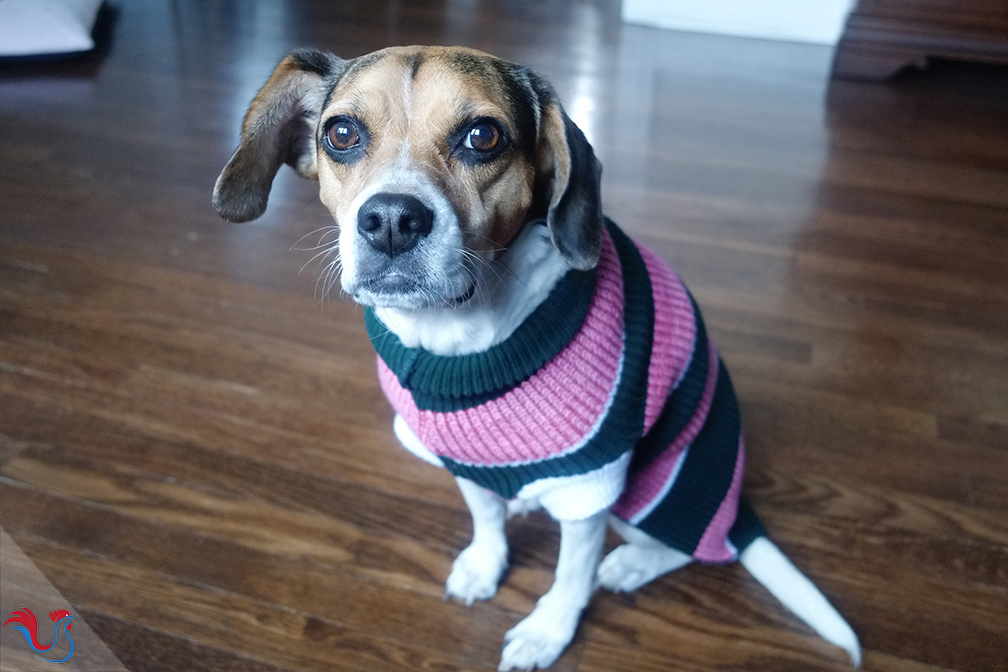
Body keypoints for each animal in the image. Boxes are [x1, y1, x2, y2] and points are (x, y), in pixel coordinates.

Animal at [212, 44, 858, 668]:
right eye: (341, 134)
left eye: (483, 136)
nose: (392, 219)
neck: (453, 335)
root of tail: (736, 506)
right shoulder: (463, 459)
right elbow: (485, 518)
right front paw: (485, 562)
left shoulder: (590, 484)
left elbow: (570, 576)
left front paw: (548, 633)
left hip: (653, 491)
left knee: (689, 547)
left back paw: (632, 564)